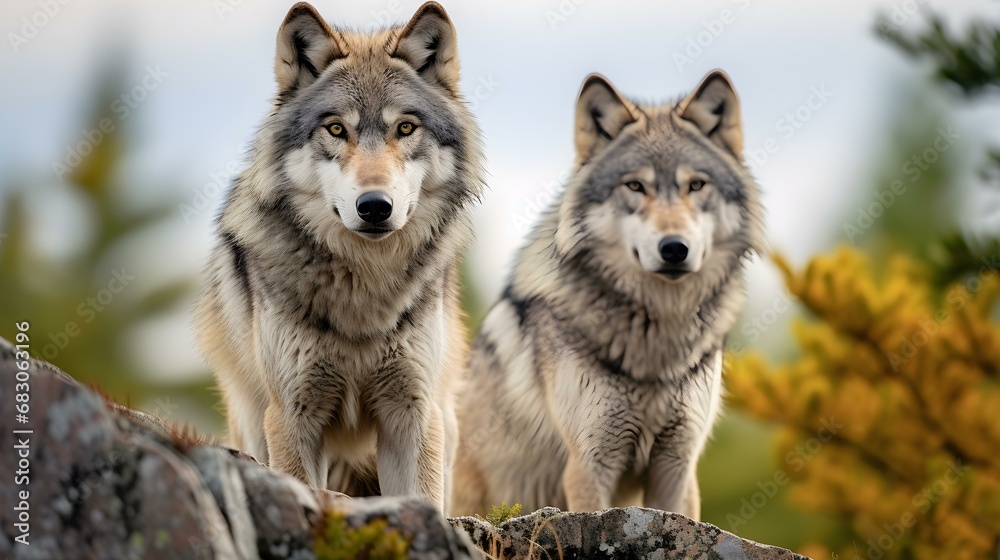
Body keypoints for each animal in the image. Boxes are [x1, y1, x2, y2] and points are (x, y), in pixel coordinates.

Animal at [195, 1, 484, 513]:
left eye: (405, 127)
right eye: (336, 128)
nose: (374, 206)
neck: (363, 287)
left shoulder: (412, 413)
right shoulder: (292, 415)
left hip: (444, 421)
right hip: (252, 422)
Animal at [452, 70, 764, 518]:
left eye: (695, 185)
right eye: (635, 186)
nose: (674, 248)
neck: (657, 336)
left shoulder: (678, 468)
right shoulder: (588, 465)